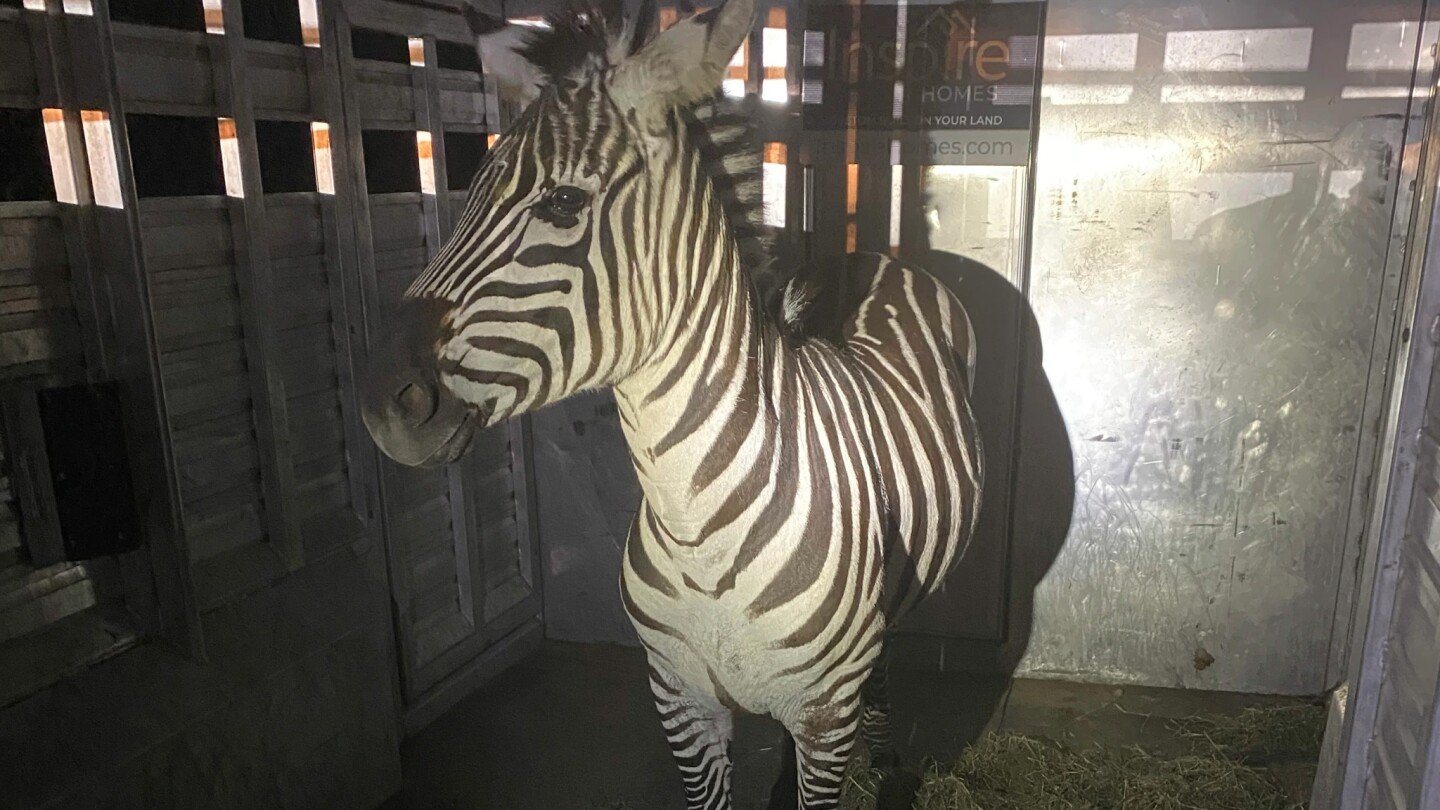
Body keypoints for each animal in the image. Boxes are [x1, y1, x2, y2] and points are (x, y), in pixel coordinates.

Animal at [360, 0, 984, 806]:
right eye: (468, 194)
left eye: (563, 202)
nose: (384, 402)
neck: (699, 529)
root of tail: (868, 257)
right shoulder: (679, 700)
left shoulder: (824, 713)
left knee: (880, 678)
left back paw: (886, 766)